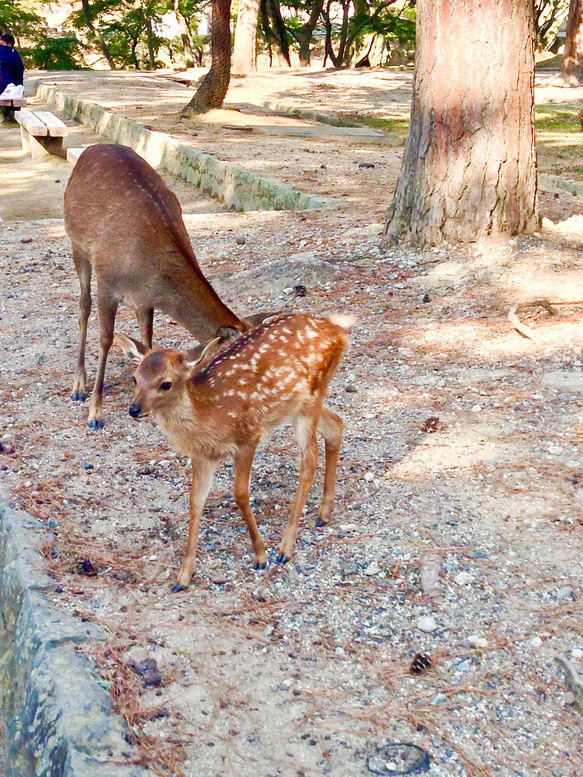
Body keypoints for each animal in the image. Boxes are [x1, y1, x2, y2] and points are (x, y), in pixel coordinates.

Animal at [64, 142, 258, 428]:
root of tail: (92, 148)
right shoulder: (107, 283)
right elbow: (105, 338)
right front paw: (95, 413)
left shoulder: (146, 299)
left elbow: (148, 338)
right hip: (77, 247)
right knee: (82, 306)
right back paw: (78, 385)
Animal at [120, 310, 352, 588]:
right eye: (134, 378)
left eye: (165, 384)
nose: (134, 409)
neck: (208, 414)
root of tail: (338, 332)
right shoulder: (203, 455)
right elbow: (195, 501)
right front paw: (183, 576)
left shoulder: (248, 437)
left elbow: (240, 493)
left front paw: (260, 555)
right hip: (300, 405)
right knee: (336, 426)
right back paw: (324, 514)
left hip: (310, 399)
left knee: (310, 457)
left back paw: (285, 547)